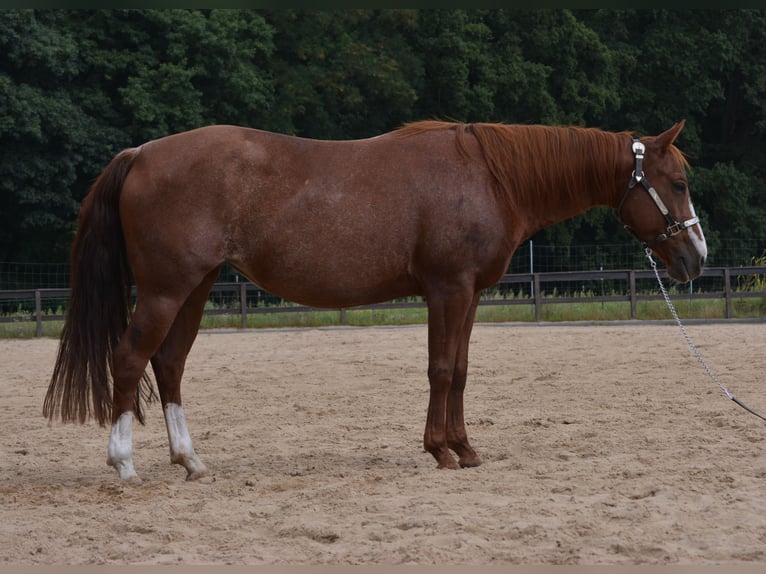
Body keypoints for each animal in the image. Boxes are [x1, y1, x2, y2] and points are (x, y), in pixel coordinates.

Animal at [43, 119, 708, 483]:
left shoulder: (468, 295)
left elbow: (460, 370)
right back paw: (124, 464)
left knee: (170, 363)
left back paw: (190, 461)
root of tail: (142, 153)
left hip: (197, 286)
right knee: (131, 359)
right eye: (677, 183)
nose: (696, 259)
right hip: (166, 289)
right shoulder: (448, 289)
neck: (489, 176)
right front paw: (441, 451)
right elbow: (441, 369)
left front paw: (464, 448)